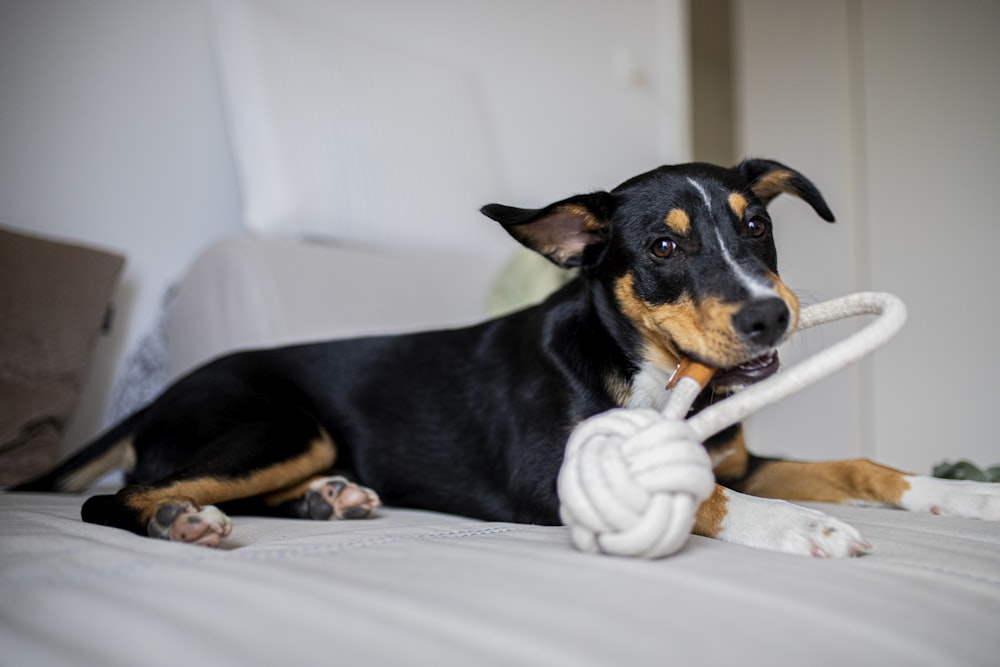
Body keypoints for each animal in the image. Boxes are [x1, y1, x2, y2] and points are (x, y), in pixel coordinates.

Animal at [17, 160, 1000, 552]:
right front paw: (804, 529)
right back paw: (181, 519)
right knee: (118, 497)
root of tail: (161, 395)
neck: (640, 365)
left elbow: (859, 465)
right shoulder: (553, 479)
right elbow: (705, 497)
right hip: (279, 424)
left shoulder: (742, 457)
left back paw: (328, 500)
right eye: (664, 246)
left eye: (756, 223)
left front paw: (963, 495)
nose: (770, 316)